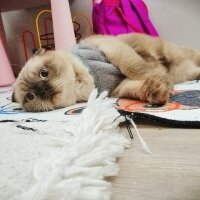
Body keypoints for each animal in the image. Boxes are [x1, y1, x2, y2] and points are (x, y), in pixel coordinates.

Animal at [11, 32, 200, 111]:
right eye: (30, 96)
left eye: (44, 73)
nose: (42, 90)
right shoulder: (118, 88)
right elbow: (139, 88)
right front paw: (158, 92)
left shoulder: (113, 51)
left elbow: (137, 68)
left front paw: (166, 86)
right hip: (183, 71)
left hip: (174, 57)